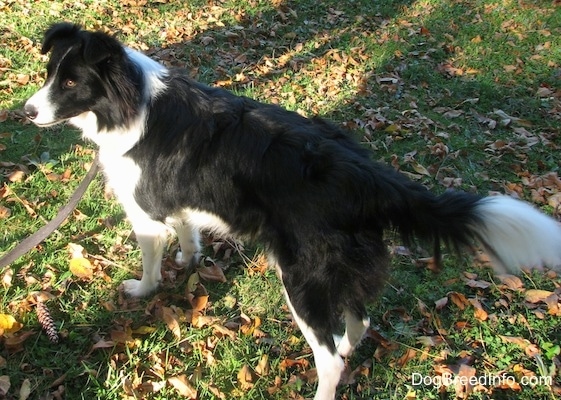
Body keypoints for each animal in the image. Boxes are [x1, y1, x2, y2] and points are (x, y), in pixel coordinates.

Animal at [26, 23, 561, 398]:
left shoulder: (144, 214)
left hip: (302, 277)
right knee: (359, 321)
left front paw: (144, 288)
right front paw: (189, 260)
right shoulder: (175, 202)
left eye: (70, 82)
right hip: (343, 269)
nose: (26, 112)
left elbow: (151, 259)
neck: (130, 101)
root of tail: (364, 173)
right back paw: (349, 345)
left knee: (330, 358)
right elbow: (187, 232)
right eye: (50, 74)